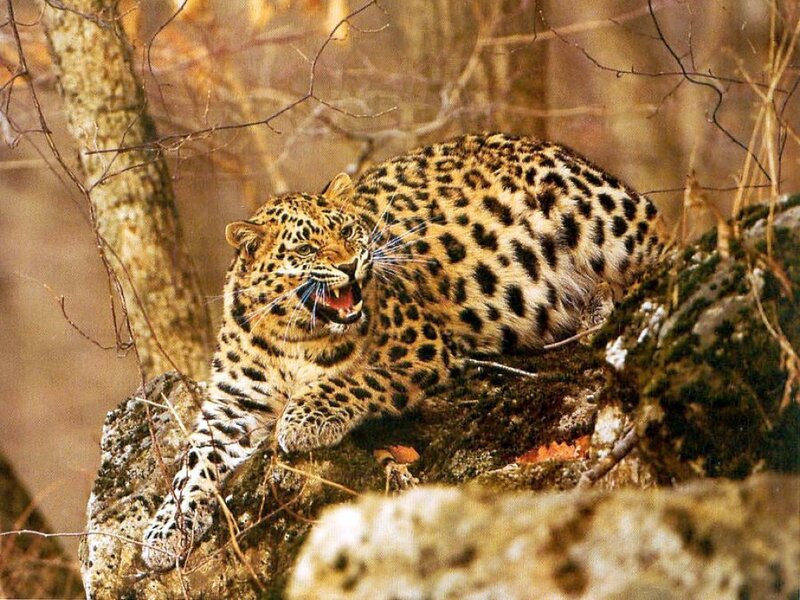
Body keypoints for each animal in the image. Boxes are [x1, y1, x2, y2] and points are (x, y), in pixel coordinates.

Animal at [142, 133, 666, 570]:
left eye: (348, 233)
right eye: (307, 249)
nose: (350, 265)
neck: (289, 336)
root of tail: (552, 146)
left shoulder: (423, 348)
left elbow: (353, 378)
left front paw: (304, 419)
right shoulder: (232, 408)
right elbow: (191, 467)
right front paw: (164, 533)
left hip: (605, 222)